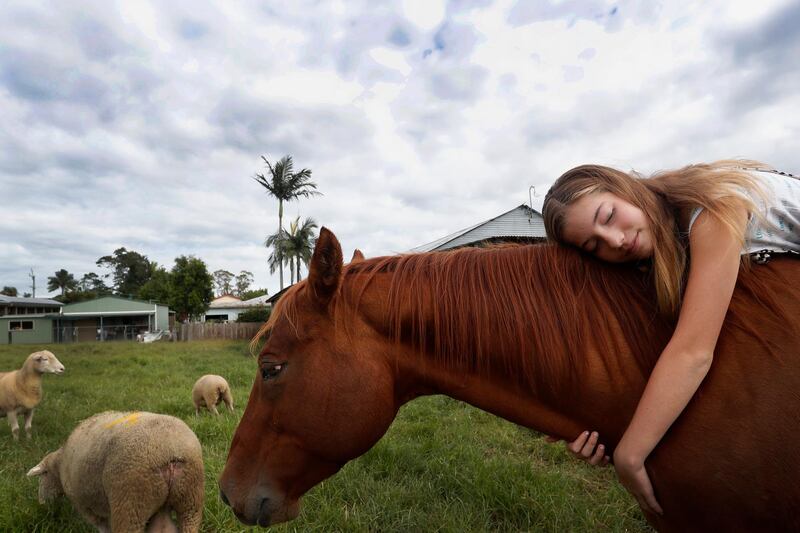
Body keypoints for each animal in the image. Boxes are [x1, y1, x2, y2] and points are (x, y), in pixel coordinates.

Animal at [27, 412, 203, 532]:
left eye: (43, 475)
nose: (41, 504)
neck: (60, 464)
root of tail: (171, 451)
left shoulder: (85, 506)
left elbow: (103, 527)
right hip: (190, 501)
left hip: (130, 500)